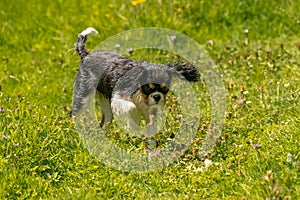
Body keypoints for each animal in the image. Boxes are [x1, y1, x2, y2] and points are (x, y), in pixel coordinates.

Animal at [71, 27, 199, 133]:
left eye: (164, 89)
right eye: (148, 87)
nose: (157, 97)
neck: (140, 94)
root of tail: (86, 55)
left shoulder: (150, 109)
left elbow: (151, 124)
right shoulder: (118, 98)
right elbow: (131, 107)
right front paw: (134, 125)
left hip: (105, 101)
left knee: (105, 120)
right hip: (83, 95)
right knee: (74, 114)